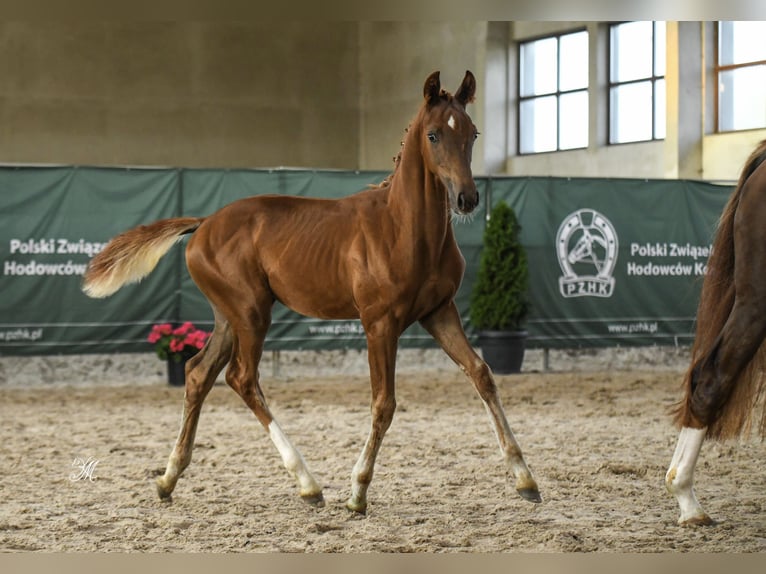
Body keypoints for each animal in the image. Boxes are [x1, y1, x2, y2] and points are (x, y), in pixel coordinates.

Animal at [82, 70, 540, 516]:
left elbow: (482, 375)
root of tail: (205, 222)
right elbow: (384, 403)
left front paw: (526, 480)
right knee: (241, 378)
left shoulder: (439, 312)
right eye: (433, 134)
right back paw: (308, 485)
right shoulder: (379, 323)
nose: (467, 198)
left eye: (473, 133)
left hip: (229, 316)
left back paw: (168, 479)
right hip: (251, 313)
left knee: (198, 373)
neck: (403, 228)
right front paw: (357, 493)